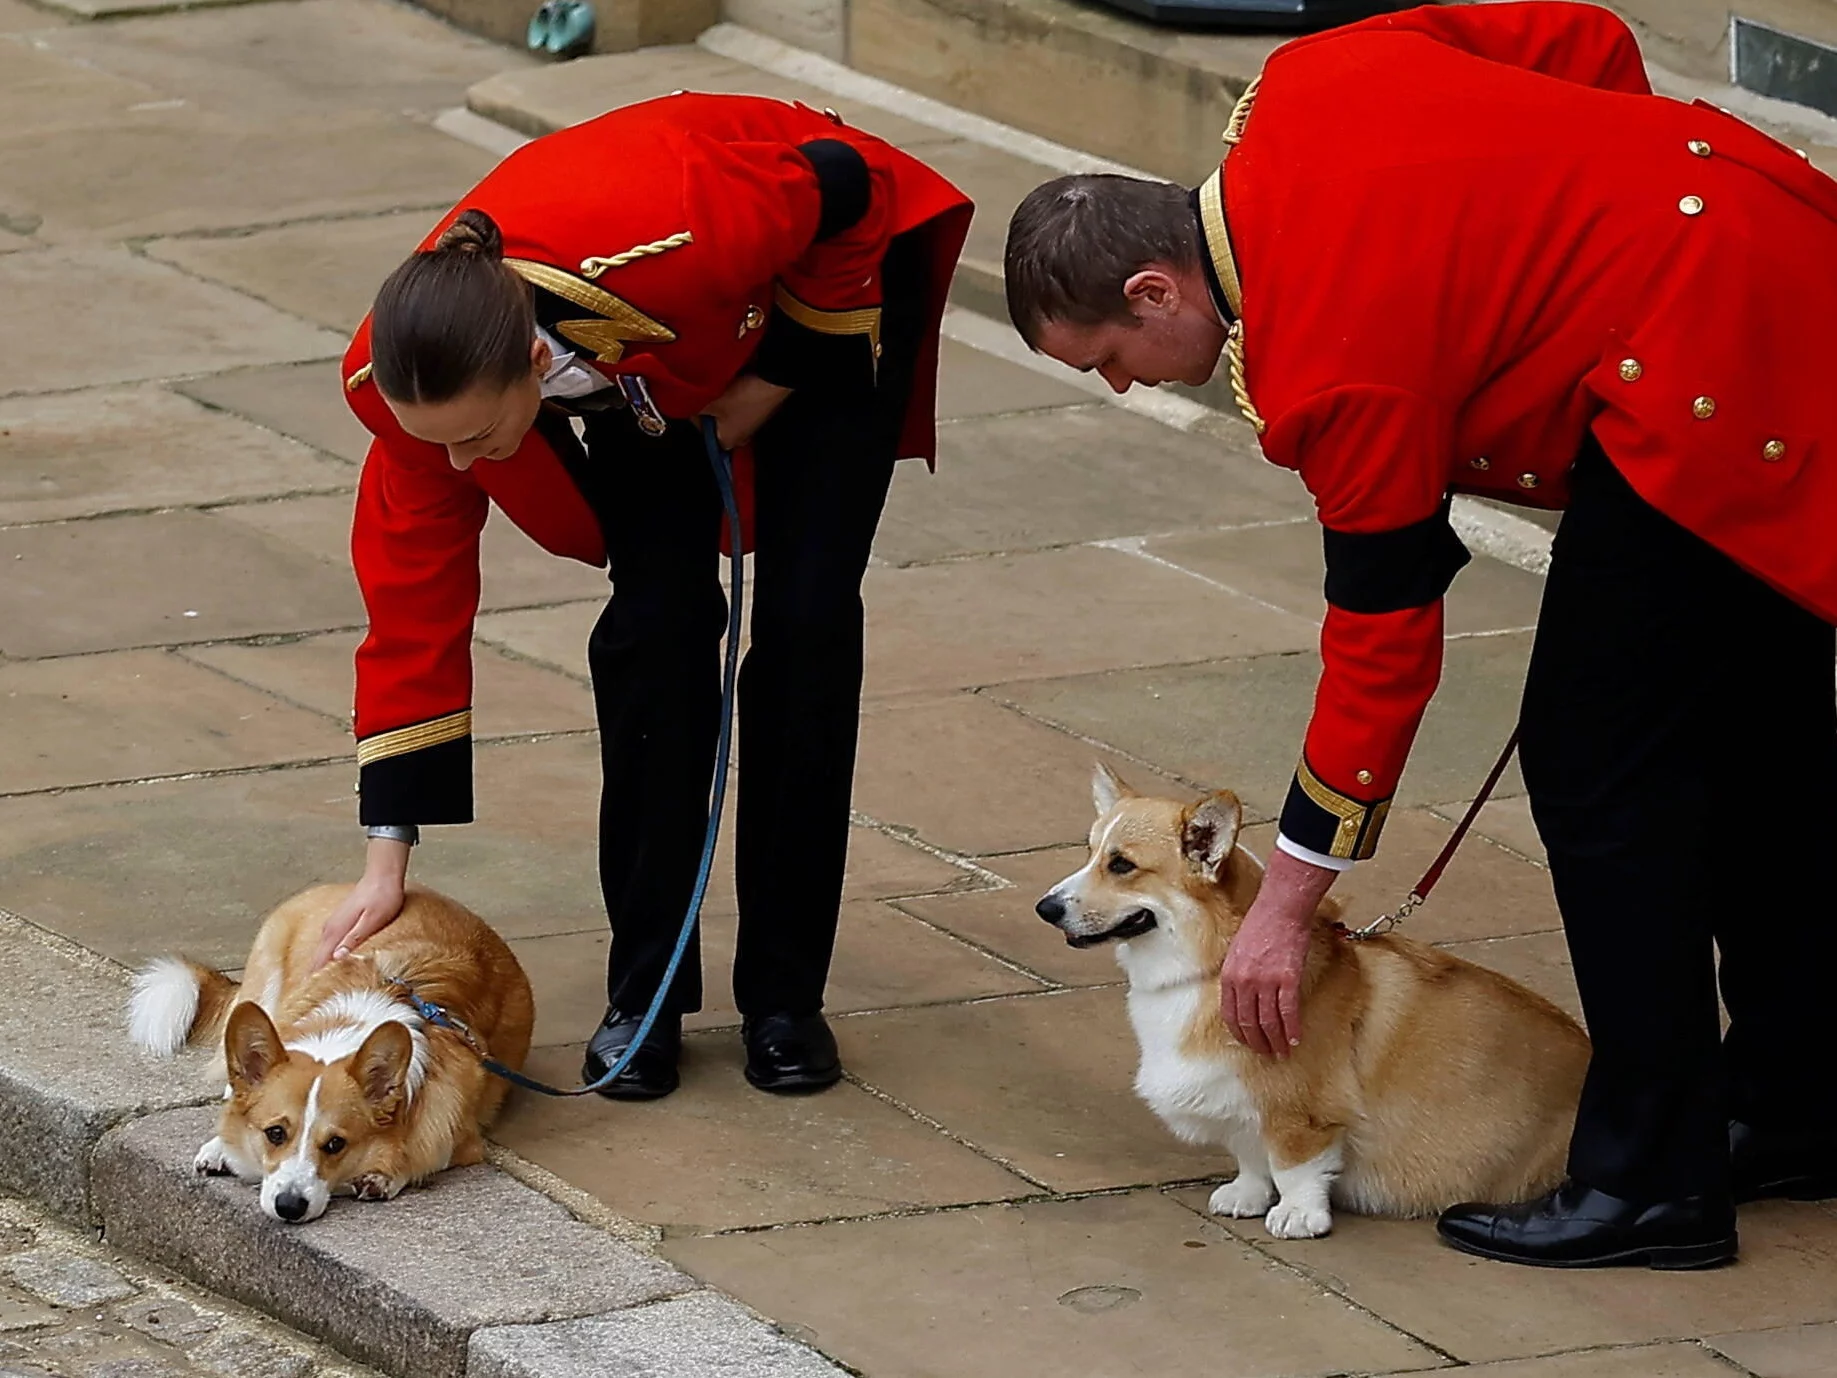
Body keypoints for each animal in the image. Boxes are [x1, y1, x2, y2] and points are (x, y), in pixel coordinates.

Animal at [126, 889, 532, 1227]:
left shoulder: (460, 1138)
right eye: (275, 1133)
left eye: (336, 1144)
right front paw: (220, 1147)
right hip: (267, 982)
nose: (290, 1207)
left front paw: (384, 1175)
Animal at [1036, 771, 1594, 1249]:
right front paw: (1246, 1194)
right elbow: (1250, 1153)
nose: (1045, 908)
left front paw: (1299, 1215)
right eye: (1090, 852)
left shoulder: (1302, 1111)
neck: (1212, 967)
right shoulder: (1238, 1101)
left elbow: (1294, 1165)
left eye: (1122, 865)